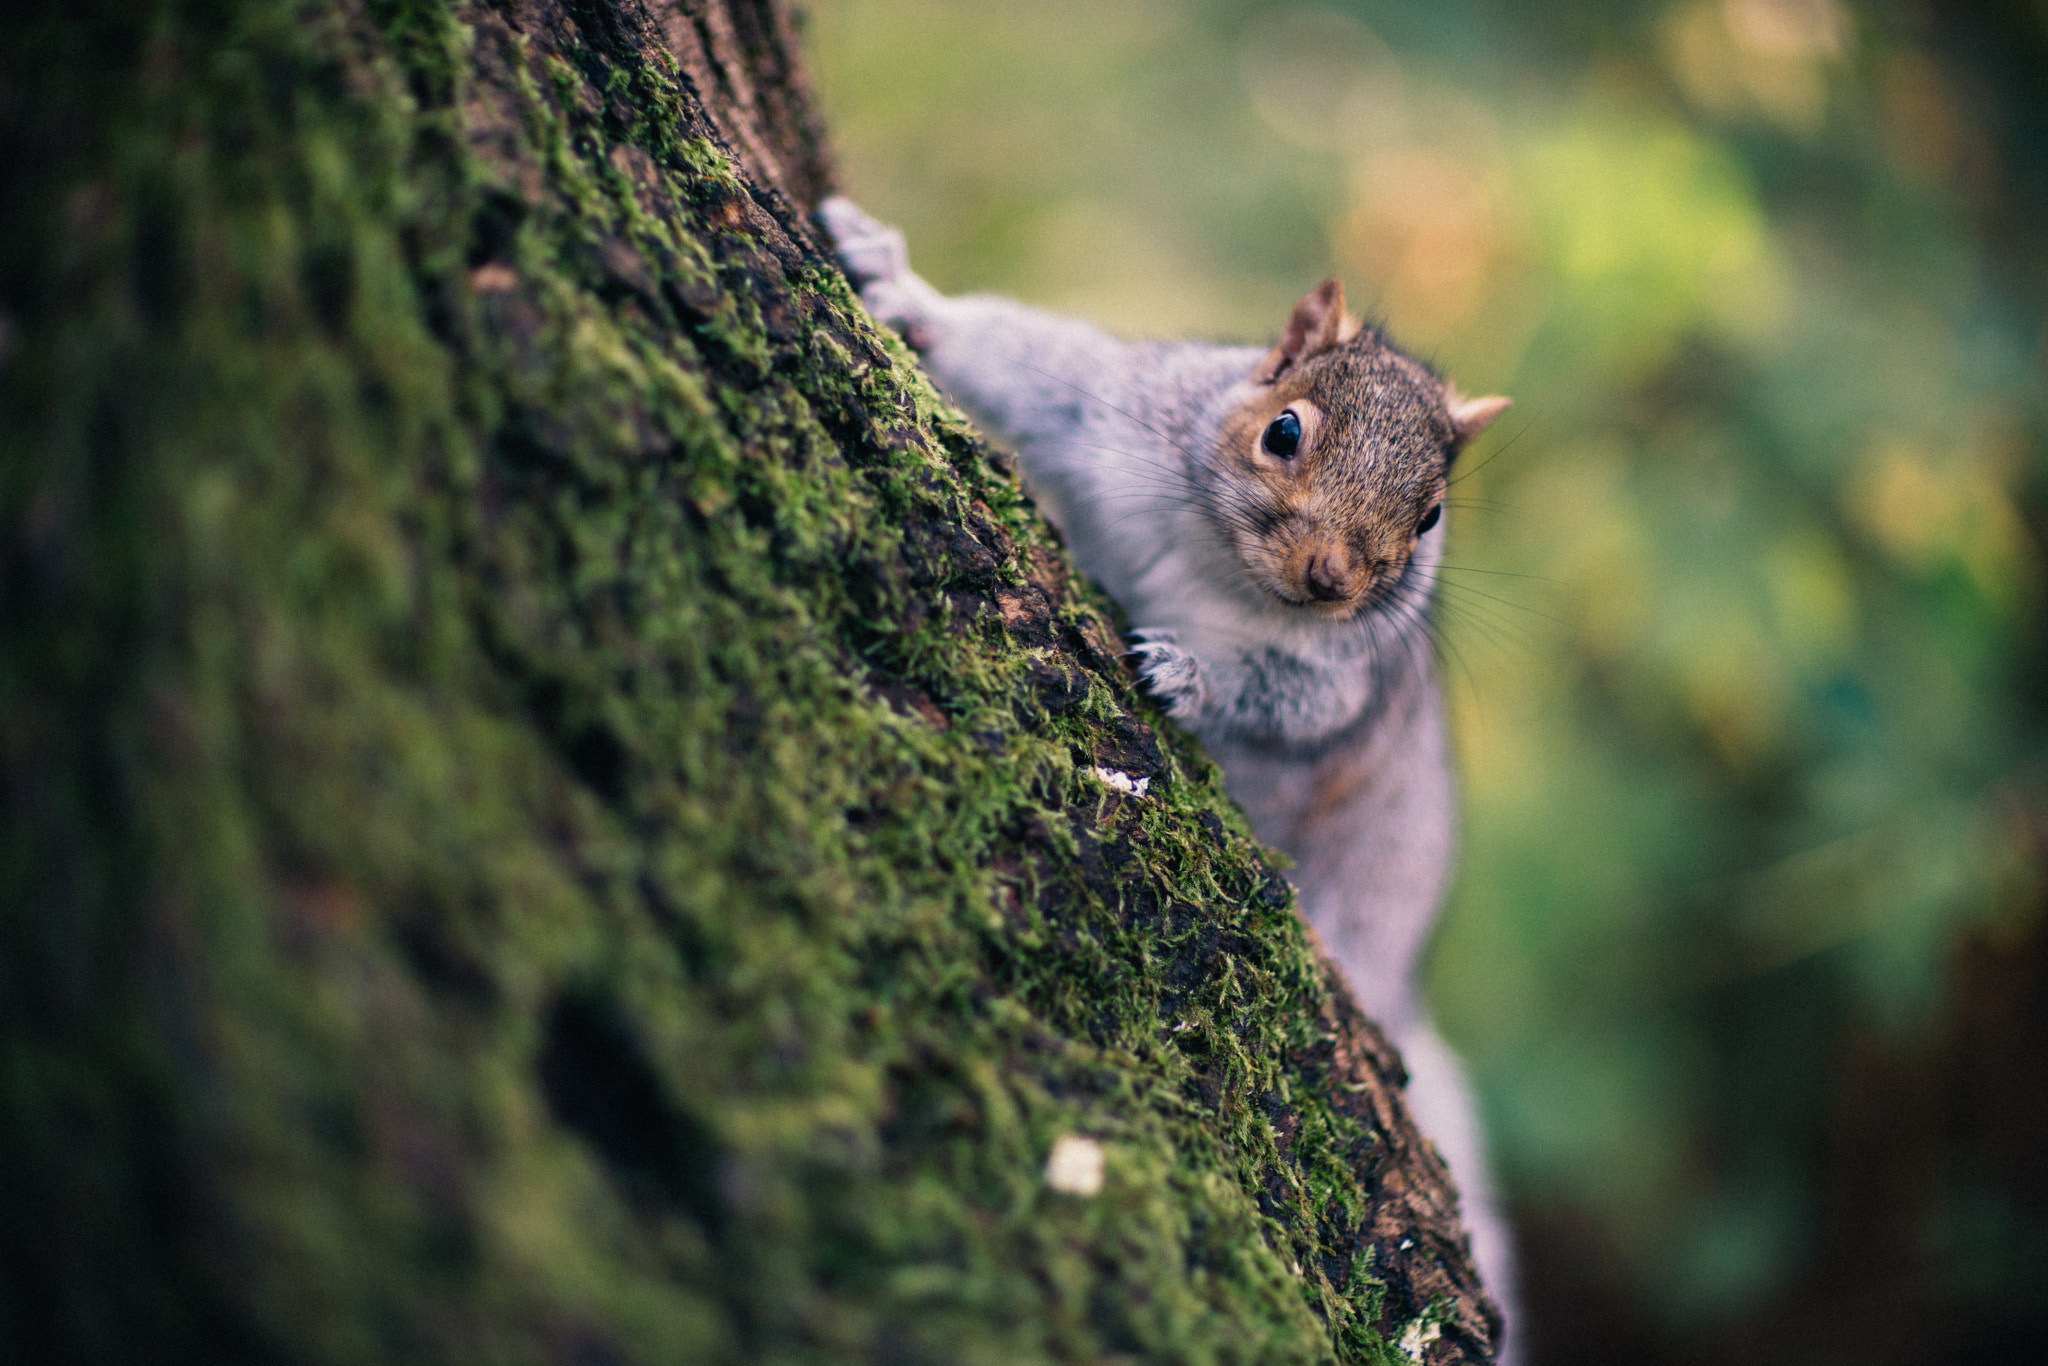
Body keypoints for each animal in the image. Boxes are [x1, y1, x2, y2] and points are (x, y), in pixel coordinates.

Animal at [819, 197, 1523, 1359]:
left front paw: (1181, 672)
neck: (1222, 570)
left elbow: (1277, 700)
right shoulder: (1120, 413)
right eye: (1283, 430)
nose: (1331, 578)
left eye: (1428, 520)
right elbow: (1022, 359)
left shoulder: (1340, 679)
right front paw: (897, 278)